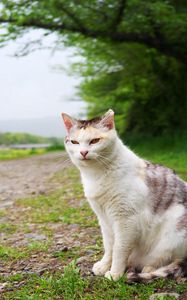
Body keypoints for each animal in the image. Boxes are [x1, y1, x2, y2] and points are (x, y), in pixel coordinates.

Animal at [61, 109, 187, 282]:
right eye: (74, 142)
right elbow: (109, 246)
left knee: (166, 260)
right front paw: (104, 265)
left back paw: (146, 269)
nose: (83, 152)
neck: (96, 175)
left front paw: (115, 273)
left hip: (173, 234)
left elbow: (119, 249)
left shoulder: (126, 220)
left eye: (94, 141)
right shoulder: (104, 219)